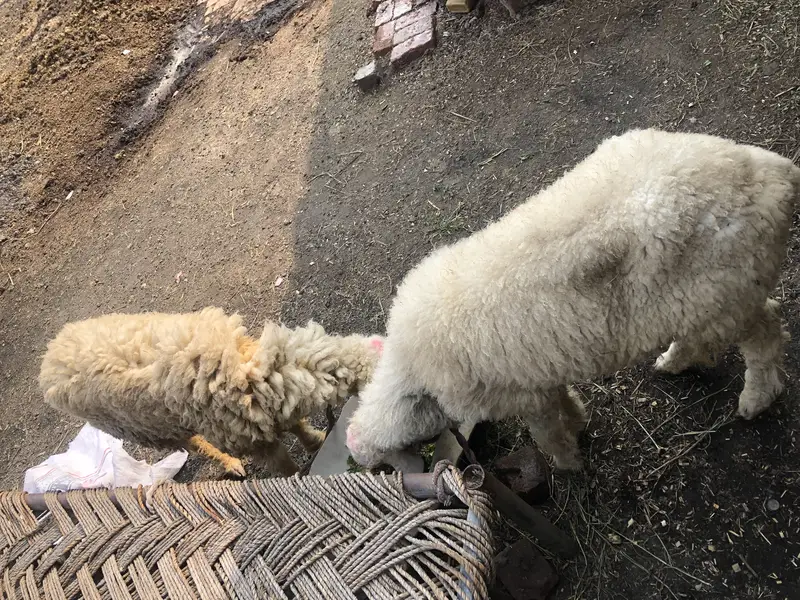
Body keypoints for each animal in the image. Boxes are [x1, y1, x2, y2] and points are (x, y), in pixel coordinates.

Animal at [40, 307, 384, 476]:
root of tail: (51, 357)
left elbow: (295, 425)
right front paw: (298, 475)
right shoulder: (253, 439)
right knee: (192, 444)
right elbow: (282, 464)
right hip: (150, 431)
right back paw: (229, 463)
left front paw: (314, 439)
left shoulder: (271, 412)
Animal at [346, 128, 800, 471]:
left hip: (727, 292)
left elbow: (546, 434)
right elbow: (564, 401)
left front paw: (568, 464)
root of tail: (774, 172)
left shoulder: (519, 396)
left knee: (767, 332)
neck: (415, 366)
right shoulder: (538, 378)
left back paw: (756, 398)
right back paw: (674, 361)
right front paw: (580, 424)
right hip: (703, 301)